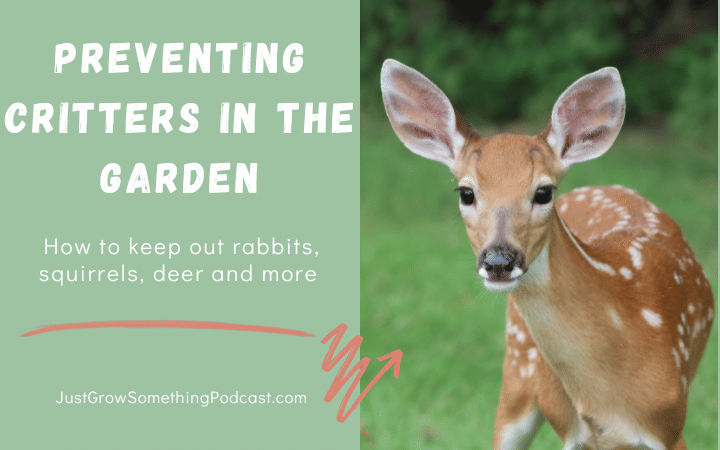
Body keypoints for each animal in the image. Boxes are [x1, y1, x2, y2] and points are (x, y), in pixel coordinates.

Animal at [380, 59, 714, 449]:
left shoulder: (669, 424)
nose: (499, 261)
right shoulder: (572, 431)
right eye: (466, 192)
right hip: (517, 370)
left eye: (543, 192)